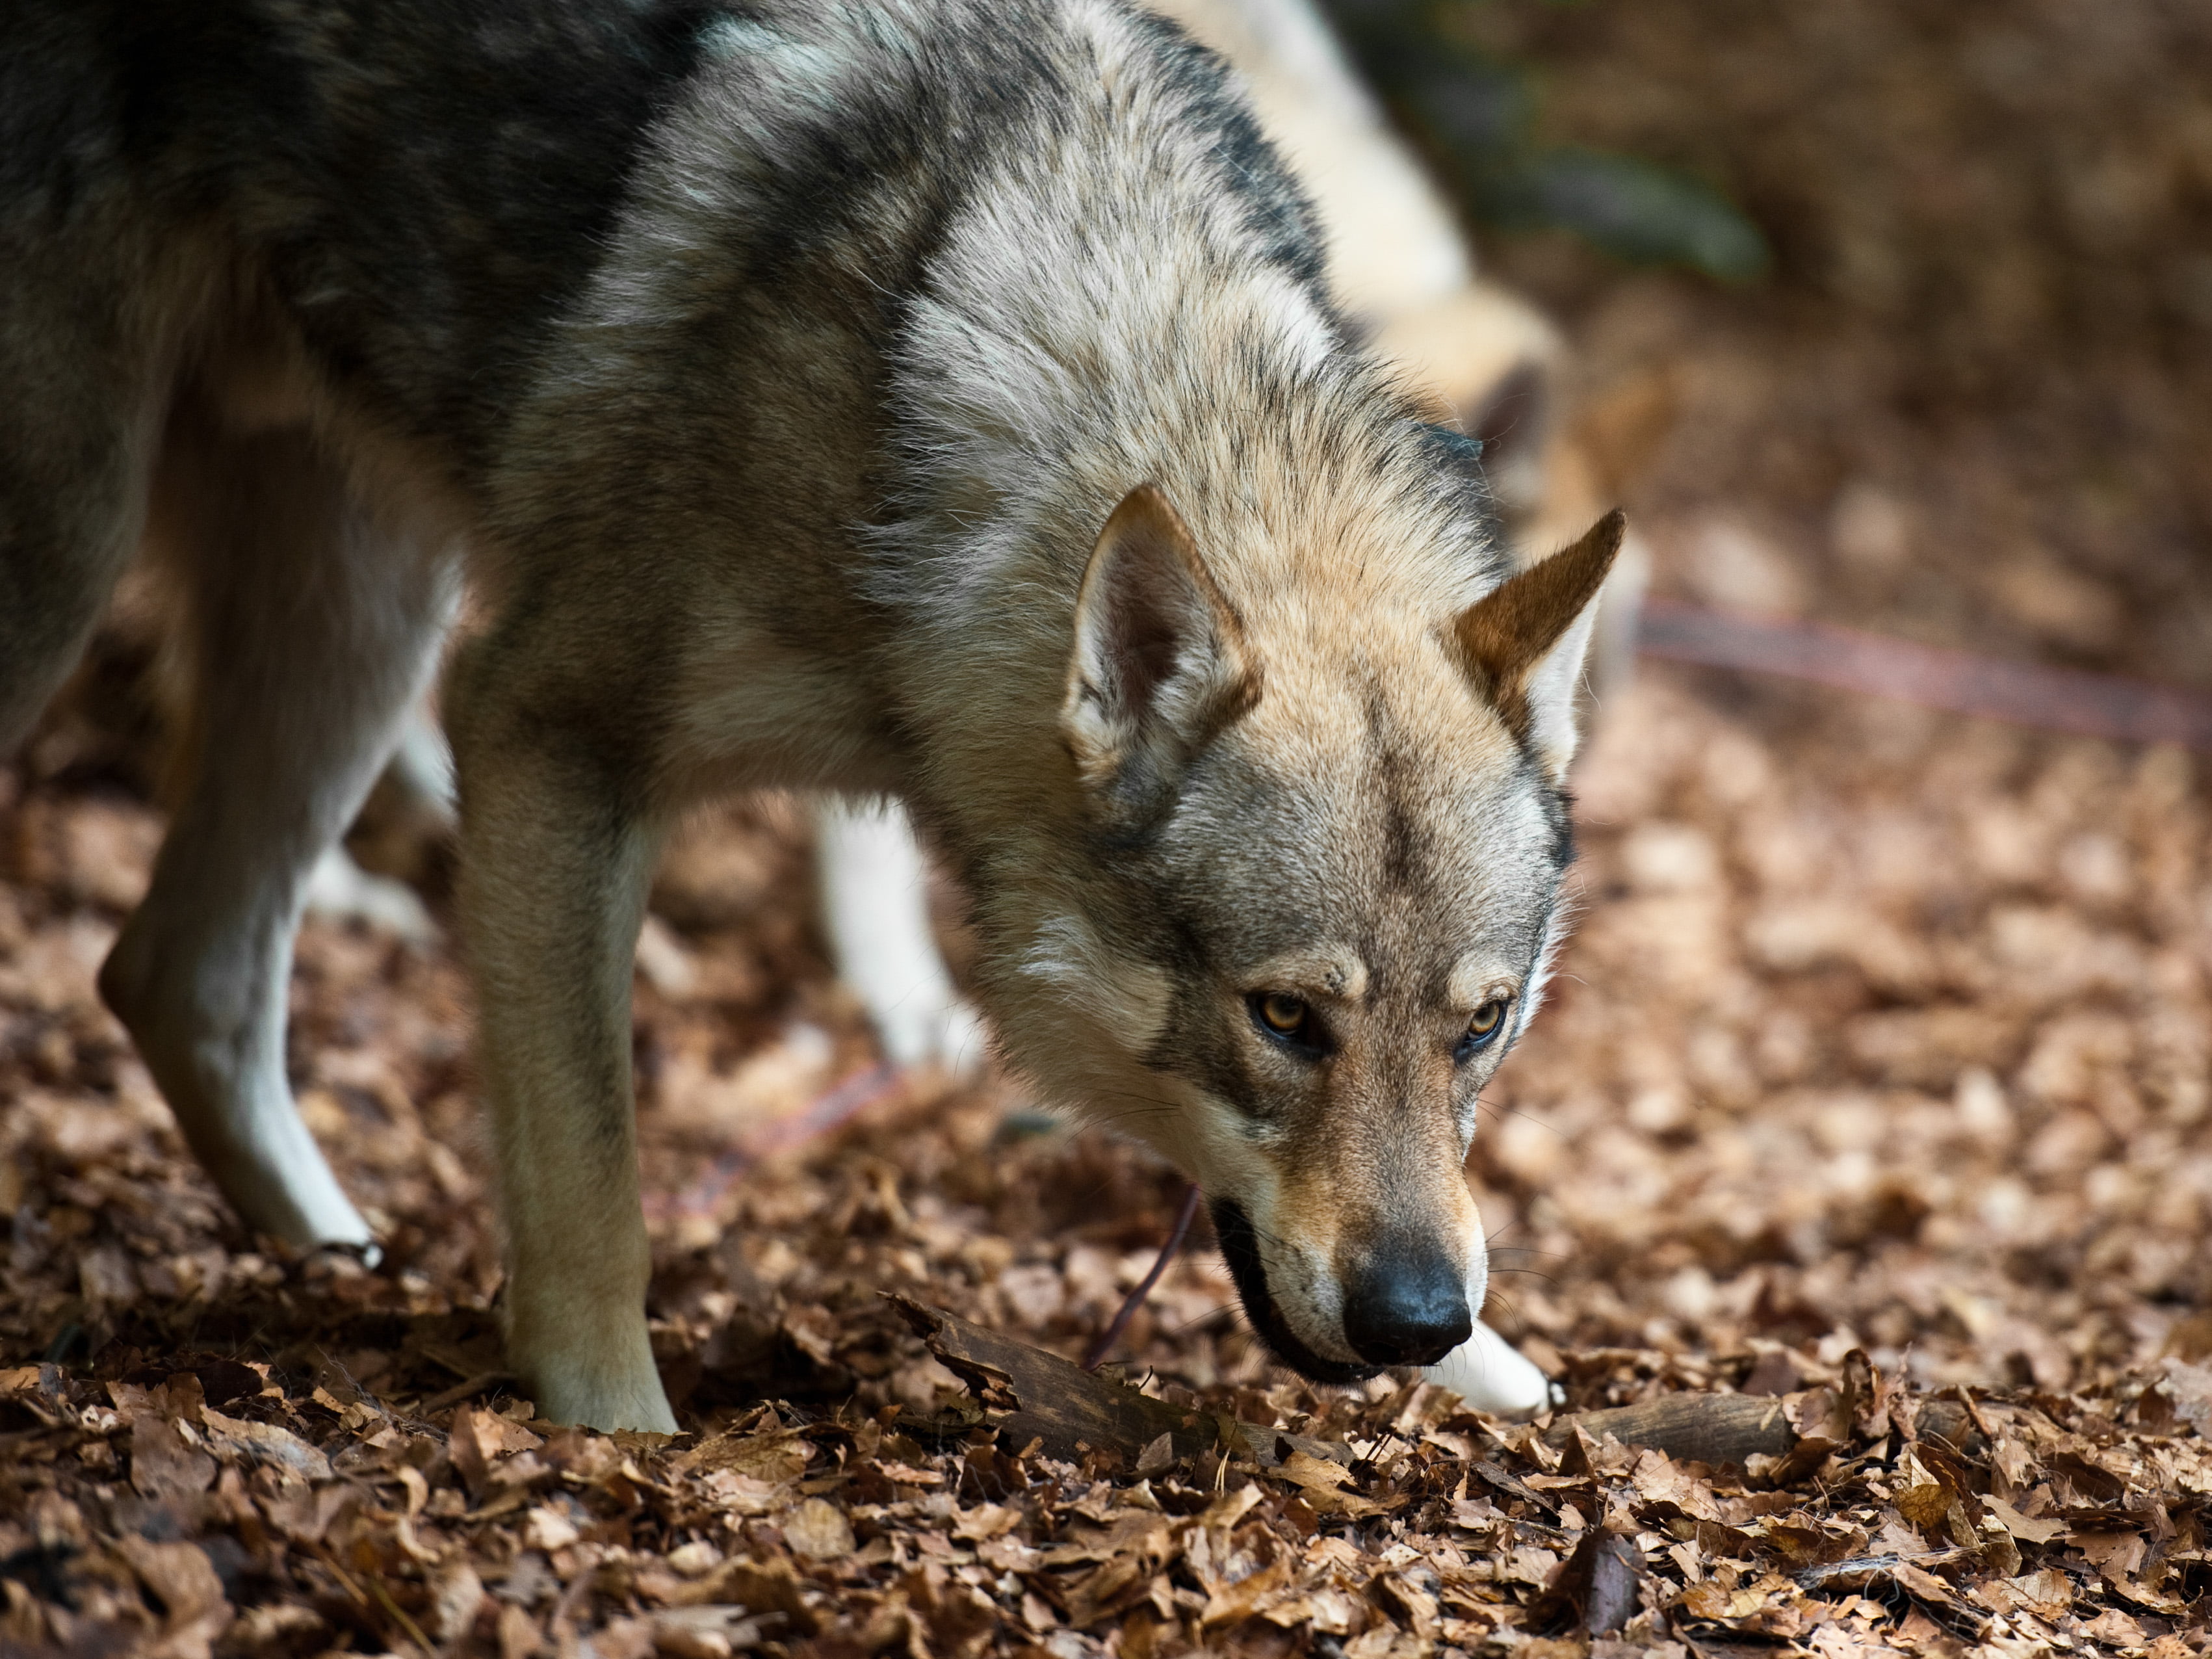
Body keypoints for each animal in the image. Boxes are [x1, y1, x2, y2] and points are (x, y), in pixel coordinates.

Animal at [4, 0, 1628, 1433]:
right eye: (1285, 1018)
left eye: (1481, 1026)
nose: (1413, 1317)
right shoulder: (540, 736)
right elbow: (593, 1185)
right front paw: (618, 1447)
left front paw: (1515, 1384)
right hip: (90, 566)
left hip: (362, 616)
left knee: (176, 975)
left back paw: (334, 1263)